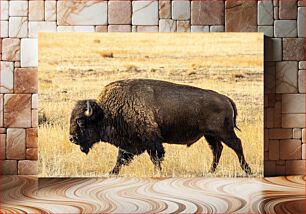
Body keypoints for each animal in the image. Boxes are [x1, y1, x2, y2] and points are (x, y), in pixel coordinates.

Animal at [68, 79, 251, 175]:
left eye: (81, 121)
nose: (72, 138)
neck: (107, 112)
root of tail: (226, 98)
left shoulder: (152, 141)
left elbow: (155, 158)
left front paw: (158, 173)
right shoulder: (128, 144)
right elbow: (121, 159)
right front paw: (111, 172)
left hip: (224, 132)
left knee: (237, 145)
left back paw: (247, 170)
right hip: (210, 135)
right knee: (217, 149)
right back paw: (210, 171)